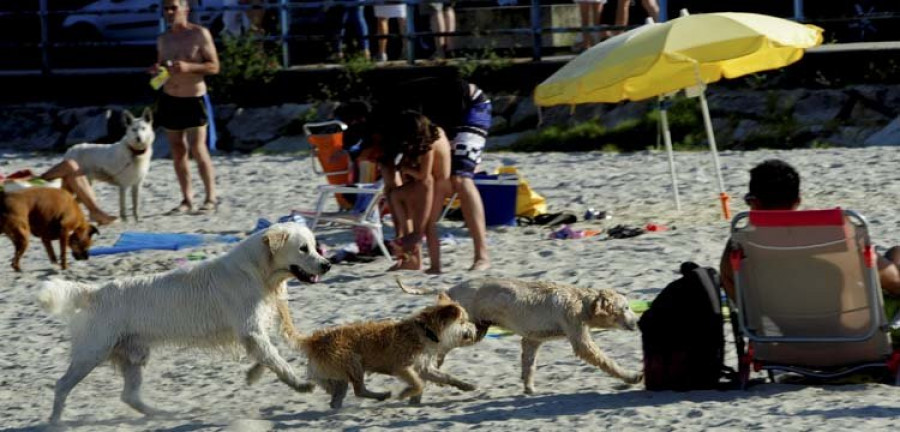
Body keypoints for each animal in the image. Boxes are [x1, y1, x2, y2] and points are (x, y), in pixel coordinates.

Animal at [37, 221, 330, 424]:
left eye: (316, 246)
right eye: (303, 249)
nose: (327, 265)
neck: (258, 271)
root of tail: (94, 291)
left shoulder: (254, 330)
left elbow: (270, 356)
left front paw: (253, 374)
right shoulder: (250, 330)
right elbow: (277, 360)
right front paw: (300, 384)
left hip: (132, 355)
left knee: (129, 396)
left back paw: (162, 414)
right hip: (92, 353)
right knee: (62, 385)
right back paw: (55, 422)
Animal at [248, 294, 478, 408]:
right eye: (464, 321)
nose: (475, 328)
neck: (425, 331)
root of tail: (314, 340)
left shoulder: (424, 367)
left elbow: (447, 377)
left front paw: (466, 385)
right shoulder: (402, 367)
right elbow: (417, 383)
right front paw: (406, 393)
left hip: (336, 373)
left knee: (336, 392)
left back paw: (337, 402)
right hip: (353, 363)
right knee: (358, 390)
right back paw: (380, 395)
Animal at [398, 276, 644, 394]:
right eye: (625, 308)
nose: (638, 322)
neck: (582, 302)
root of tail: (450, 289)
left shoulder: (532, 340)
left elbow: (529, 364)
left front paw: (529, 387)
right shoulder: (580, 339)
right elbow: (607, 361)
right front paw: (631, 376)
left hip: (478, 329)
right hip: (467, 329)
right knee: (441, 347)